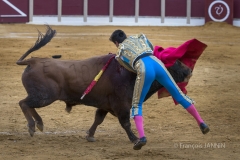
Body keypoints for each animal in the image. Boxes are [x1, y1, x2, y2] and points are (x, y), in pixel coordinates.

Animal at [15, 25, 192, 143]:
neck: (128, 73)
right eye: (176, 62)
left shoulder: (105, 105)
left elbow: (98, 119)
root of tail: (33, 61)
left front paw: (90, 136)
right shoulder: (121, 105)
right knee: (23, 103)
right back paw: (32, 126)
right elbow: (125, 123)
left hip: (42, 97)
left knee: (27, 104)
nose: (189, 71)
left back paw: (39, 124)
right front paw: (135, 139)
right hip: (44, 97)